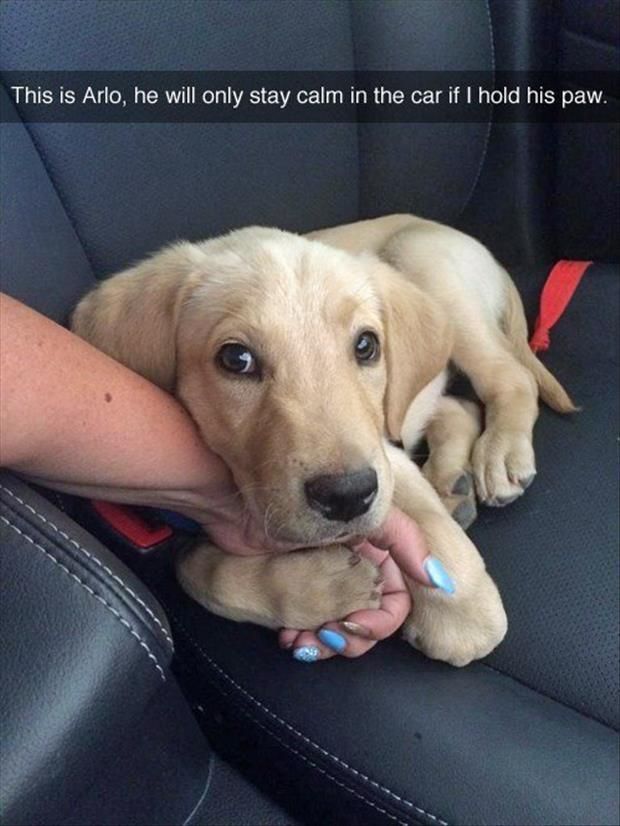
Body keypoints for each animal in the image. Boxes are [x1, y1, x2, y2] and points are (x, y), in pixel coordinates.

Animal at [71, 212, 572, 664]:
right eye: (236, 359)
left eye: (366, 345)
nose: (347, 496)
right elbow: (202, 575)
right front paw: (322, 588)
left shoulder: (379, 450)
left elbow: (418, 513)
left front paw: (460, 608)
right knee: (458, 408)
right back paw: (453, 483)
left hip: (424, 265)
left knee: (510, 379)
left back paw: (499, 457)